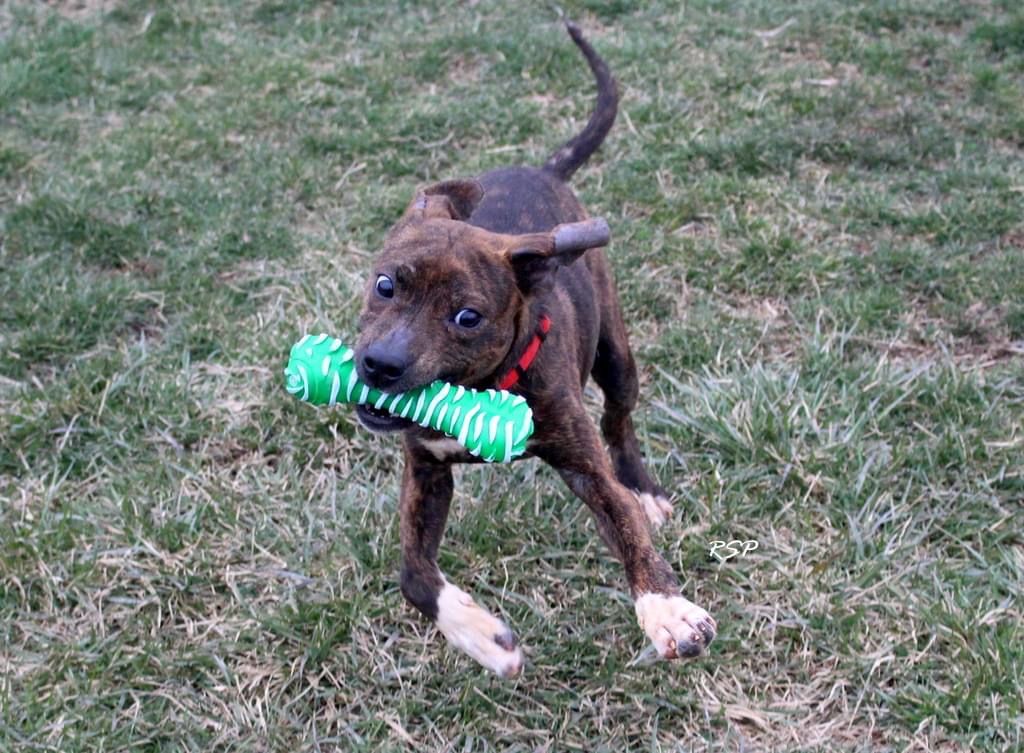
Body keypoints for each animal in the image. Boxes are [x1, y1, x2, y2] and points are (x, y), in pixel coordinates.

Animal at [356, 22, 716, 676]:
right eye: (386, 284)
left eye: (467, 317)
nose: (380, 365)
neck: (474, 391)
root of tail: (544, 172)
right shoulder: (425, 470)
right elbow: (413, 575)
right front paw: (481, 637)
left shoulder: (585, 467)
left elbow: (626, 528)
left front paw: (667, 609)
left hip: (616, 357)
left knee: (619, 419)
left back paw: (645, 488)